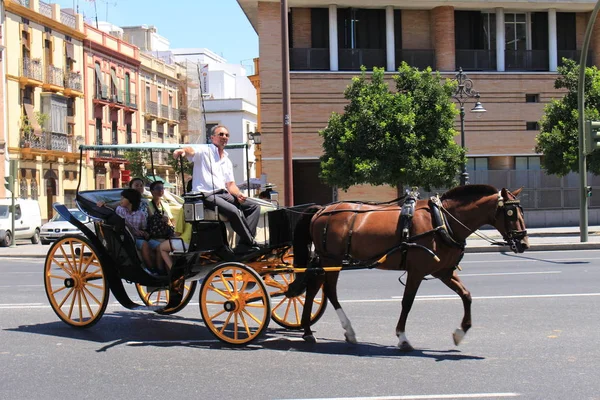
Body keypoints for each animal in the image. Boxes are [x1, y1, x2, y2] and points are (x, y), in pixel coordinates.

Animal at [292, 184, 528, 350]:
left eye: (521, 211)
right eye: (510, 213)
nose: (524, 243)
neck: (442, 221)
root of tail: (322, 209)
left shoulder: (443, 272)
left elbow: (466, 295)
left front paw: (460, 332)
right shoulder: (416, 271)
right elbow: (407, 303)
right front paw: (402, 338)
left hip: (329, 260)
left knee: (314, 288)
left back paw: (308, 330)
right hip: (331, 259)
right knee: (329, 290)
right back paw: (343, 330)